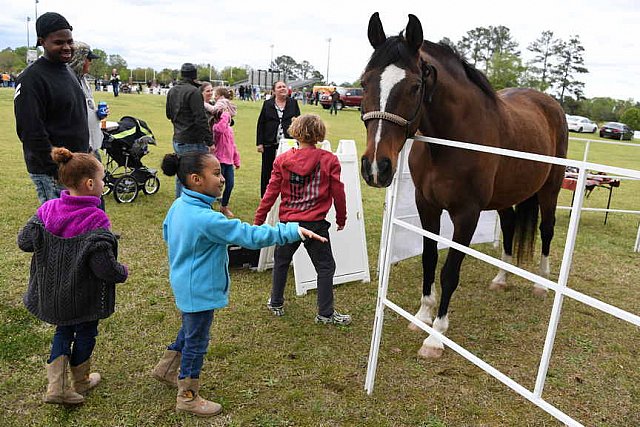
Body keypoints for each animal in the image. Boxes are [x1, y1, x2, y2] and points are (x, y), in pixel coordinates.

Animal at [362, 12, 568, 358]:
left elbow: (449, 271)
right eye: (364, 81)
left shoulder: (466, 215)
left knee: (547, 229)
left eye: (415, 86)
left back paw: (542, 282)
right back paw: (502, 277)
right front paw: (422, 316)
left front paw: (435, 337)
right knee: (510, 226)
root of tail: (548, 103)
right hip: (504, 198)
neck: (452, 141)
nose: (376, 167)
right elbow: (429, 258)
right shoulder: (427, 206)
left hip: (549, 190)